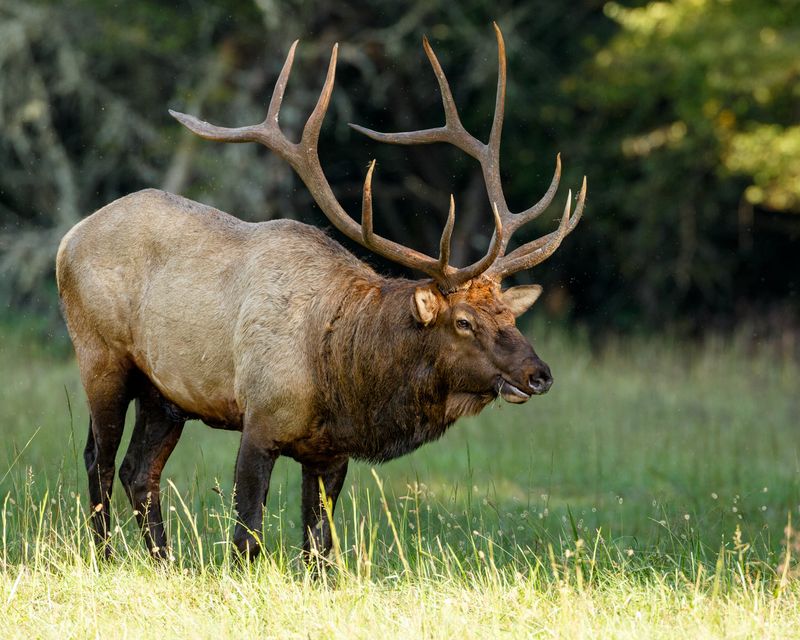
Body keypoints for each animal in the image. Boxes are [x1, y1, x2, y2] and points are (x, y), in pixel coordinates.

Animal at [55, 23, 586, 561]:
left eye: (510, 317)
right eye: (463, 322)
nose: (539, 374)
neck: (341, 377)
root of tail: (68, 238)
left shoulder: (330, 452)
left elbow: (319, 548)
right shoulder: (261, 419)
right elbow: (246, 536)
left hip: (164, 393)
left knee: (139, 470)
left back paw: (164, 563)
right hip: (100, 356)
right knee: (98, 459)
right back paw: (103, 557)